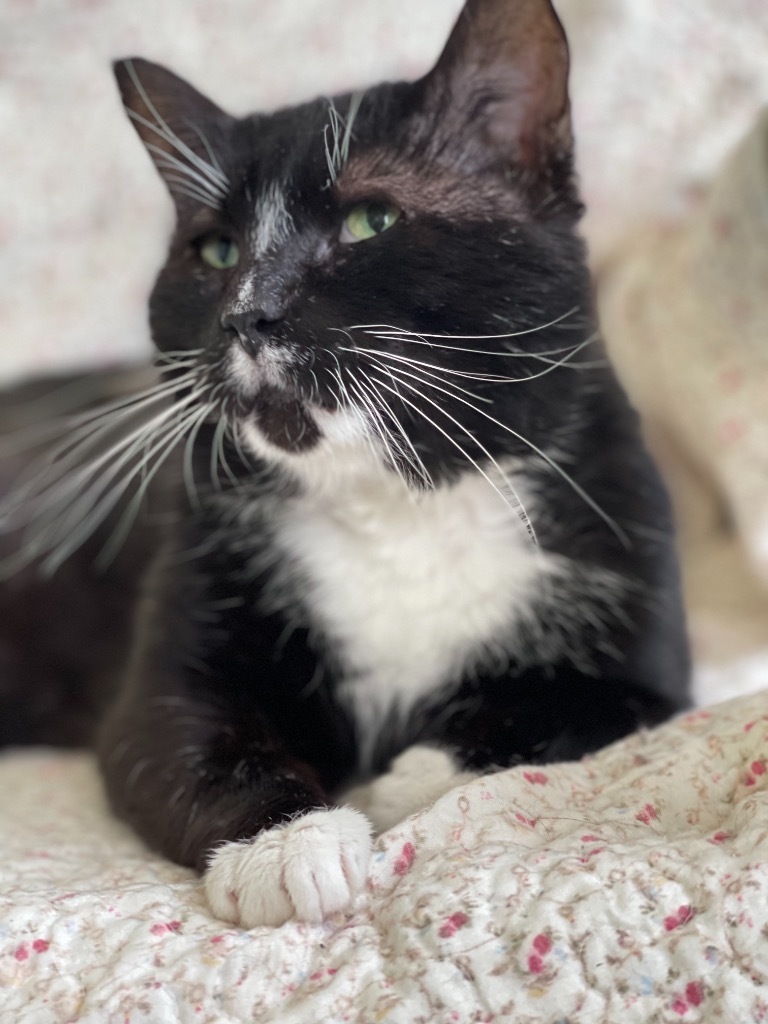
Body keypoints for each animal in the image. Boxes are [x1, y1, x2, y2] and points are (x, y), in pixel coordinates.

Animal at [1, 0, 692, 929]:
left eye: (372, 221)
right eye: (216, 251)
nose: (246, 314)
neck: (395, 500)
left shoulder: (643, 639)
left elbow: (569, 710)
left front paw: (398, 783)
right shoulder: (182, 628)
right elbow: (191, 737)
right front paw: (288, 844)